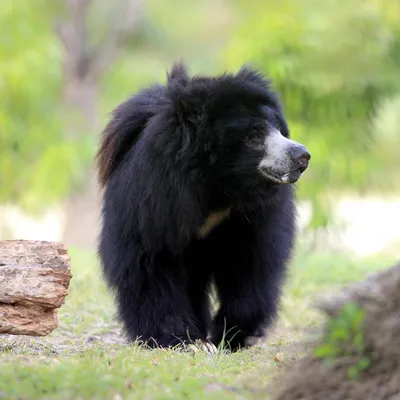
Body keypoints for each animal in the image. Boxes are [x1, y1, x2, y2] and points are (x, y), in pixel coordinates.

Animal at [95, 61, 310, 352]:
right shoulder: (153, 199)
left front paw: (231, 336)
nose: (302, 156)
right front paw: (180, 340)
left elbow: (251, 264)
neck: (219, 186)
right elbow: (150, 263)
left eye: (279, 129)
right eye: (254, 136)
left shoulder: (254, 216)